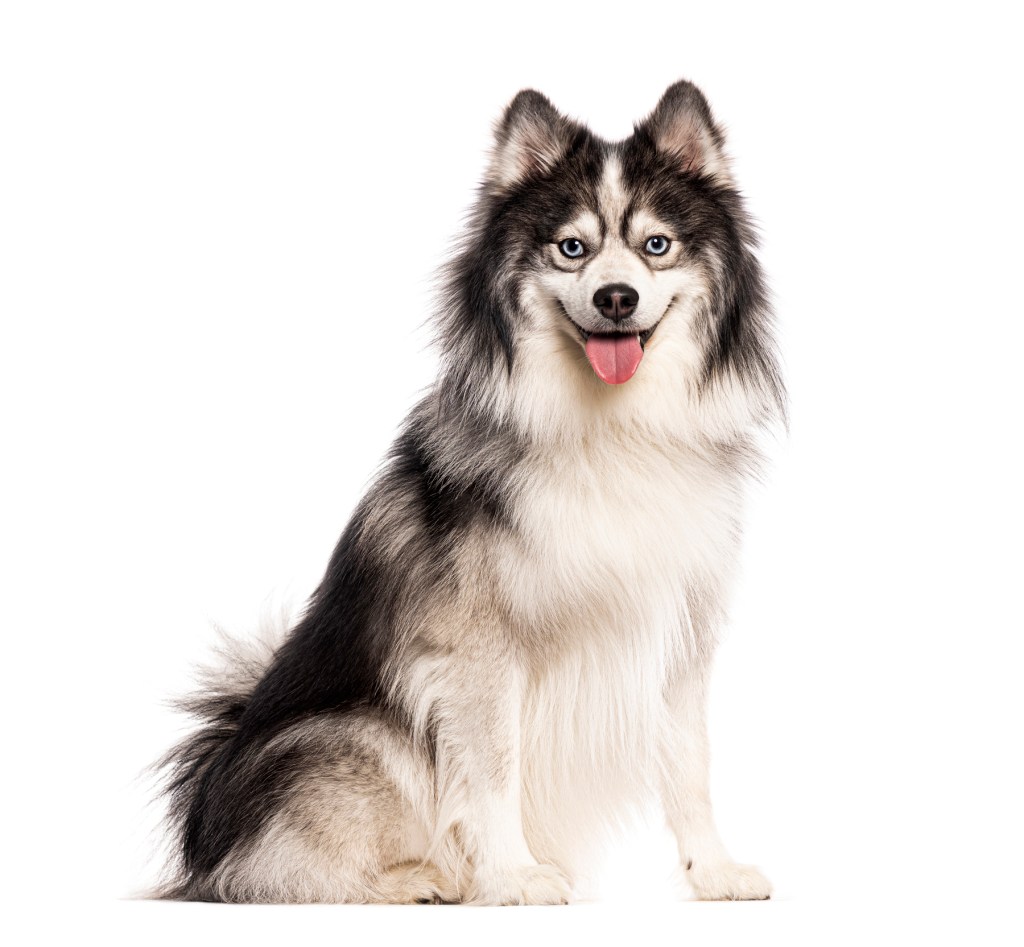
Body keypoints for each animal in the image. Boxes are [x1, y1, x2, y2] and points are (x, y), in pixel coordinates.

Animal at [157, 81, 782, 900]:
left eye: (657, 245)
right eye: (571, 248)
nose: (616, 298)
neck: (609, 426)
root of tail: (202, 825)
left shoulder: (680, 637)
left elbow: (691, 764)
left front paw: (710, 869)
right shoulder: (477, 650)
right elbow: (492, 766)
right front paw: (512, 874)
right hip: (356, 737)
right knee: (275, 869)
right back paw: (418, 879)